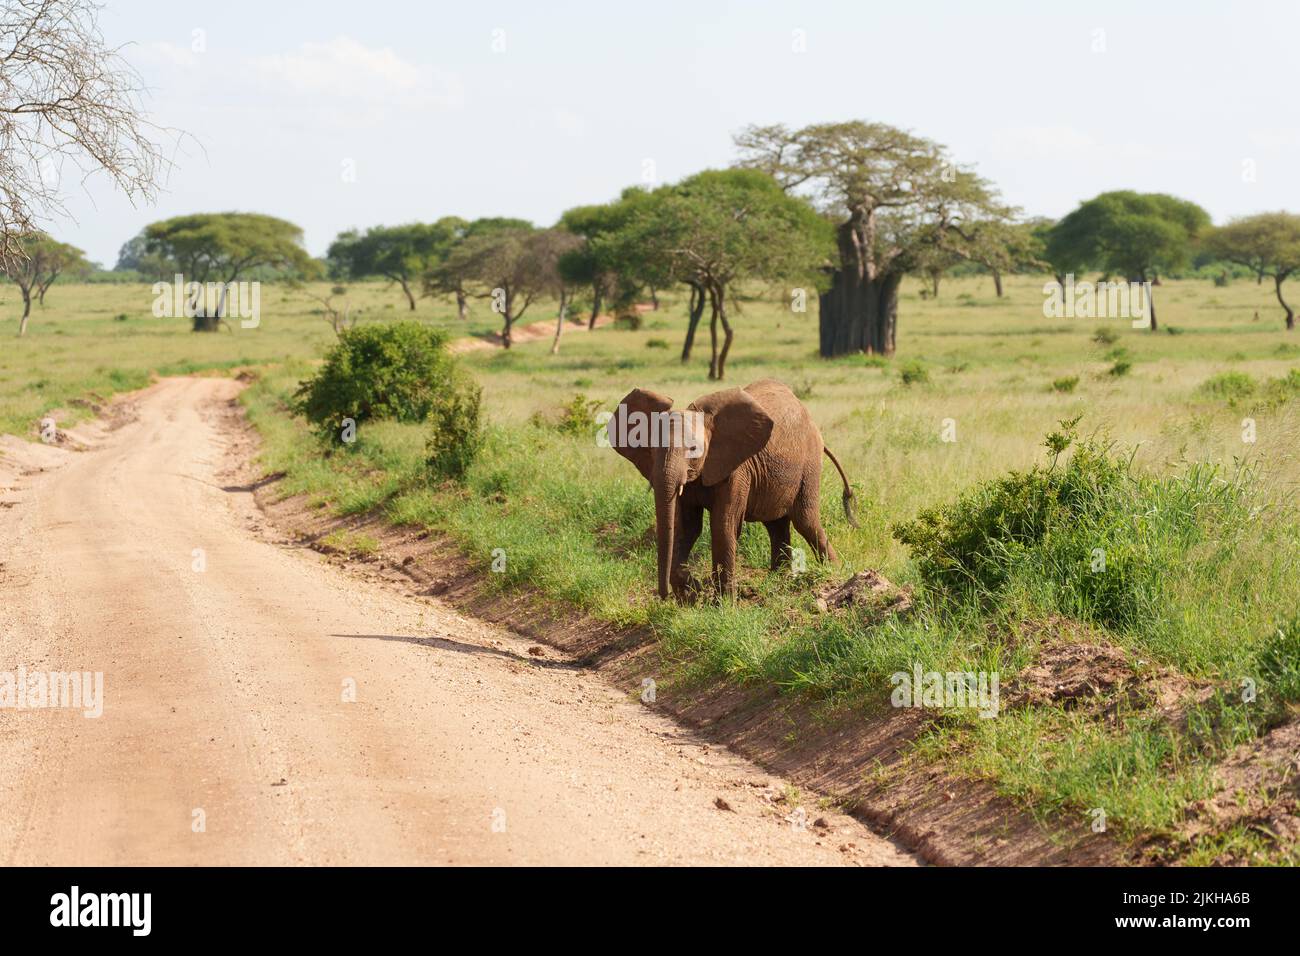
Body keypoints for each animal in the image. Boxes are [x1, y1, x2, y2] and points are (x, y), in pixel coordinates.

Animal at [605, 377, 857, 600]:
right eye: (652, 450)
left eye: (694, 449)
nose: (664, 596)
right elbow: (687, 528)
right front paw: (692, 593)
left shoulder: (736, 468)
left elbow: (723, 524)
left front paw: (723, 603)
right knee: (776, 524)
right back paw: (777, 580)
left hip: (810, 464)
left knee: (805, 521)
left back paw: (833, 572)